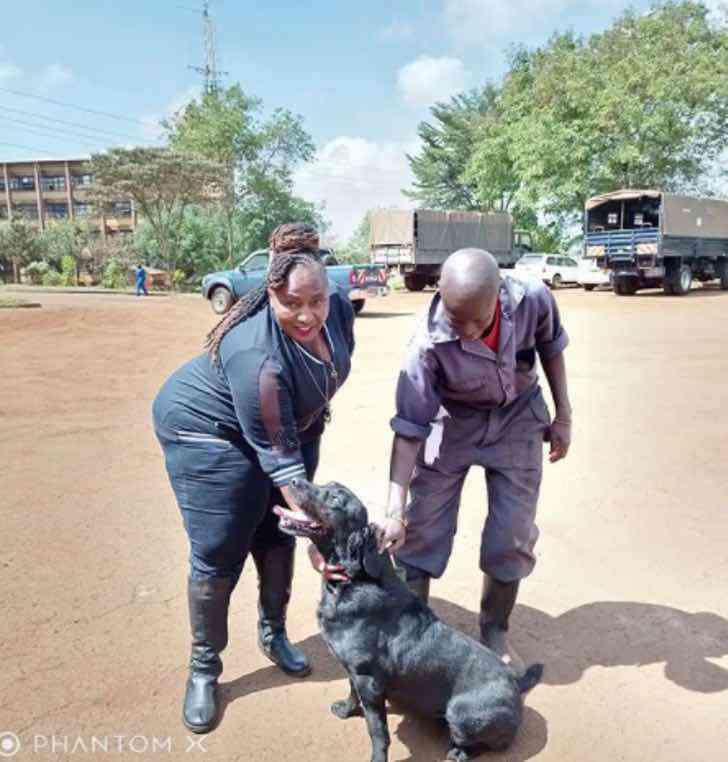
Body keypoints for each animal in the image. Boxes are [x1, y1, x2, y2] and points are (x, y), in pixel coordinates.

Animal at [276, 478, 544, 756]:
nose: (293, 480)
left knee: (483, 743)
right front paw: (346, 710)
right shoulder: (353, 671)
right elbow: (351, 693)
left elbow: (377, 731)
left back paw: (457, 753)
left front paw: (377, 756)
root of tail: (517, 684)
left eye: (336, 499)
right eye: (326, 485)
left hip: (460, 712)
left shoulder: (368, 681)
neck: (354, 581)